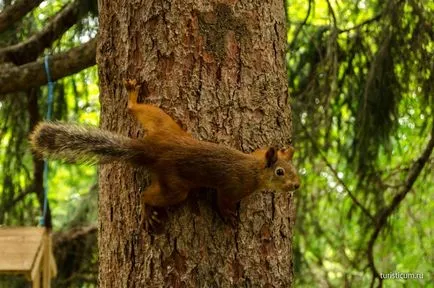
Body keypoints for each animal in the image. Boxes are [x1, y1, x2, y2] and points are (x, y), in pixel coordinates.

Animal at [30, 79, 300, 230]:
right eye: (280, 172)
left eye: (294, 169)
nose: (297, 185)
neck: (254, 169)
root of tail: (150, 149)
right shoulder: (231, 187)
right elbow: (222, 201)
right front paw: (228, 216)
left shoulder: (257, 154)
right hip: (175, 186)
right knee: (148, 195)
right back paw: (146, 211)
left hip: (164, 124)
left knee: (136, 109)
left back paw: (132, 96)